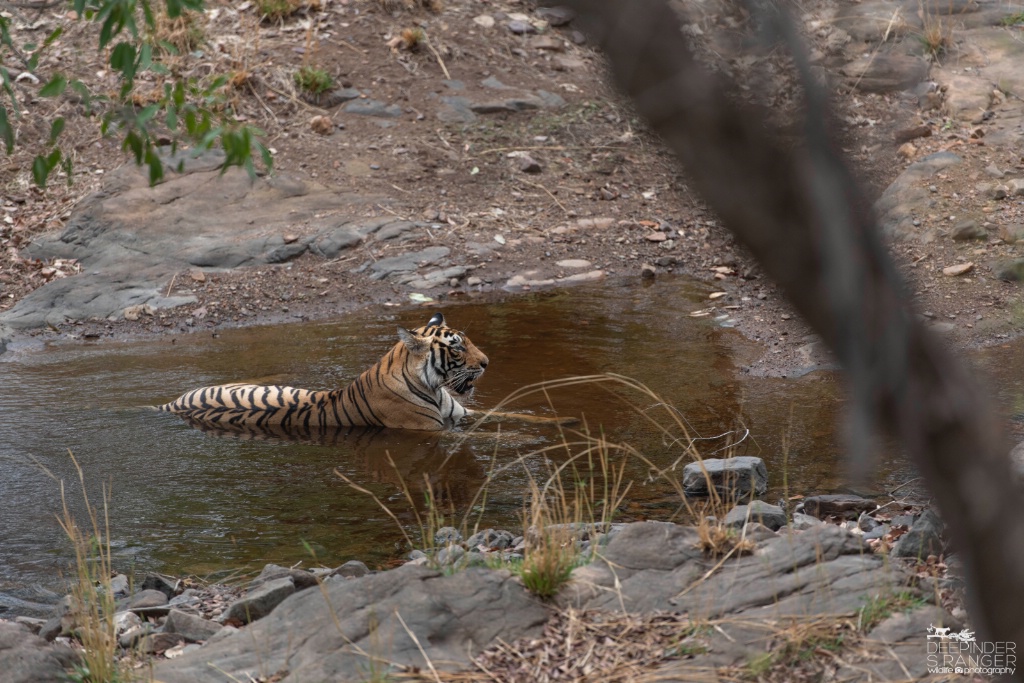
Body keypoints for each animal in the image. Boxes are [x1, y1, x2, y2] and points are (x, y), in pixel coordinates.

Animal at [158, 311, 577, 430]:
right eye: (457, 347)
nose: (488, 363)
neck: (433, 386)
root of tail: (166, 403)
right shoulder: (432, 432)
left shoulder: (465, 413)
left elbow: (515, 414)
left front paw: (567, 420)